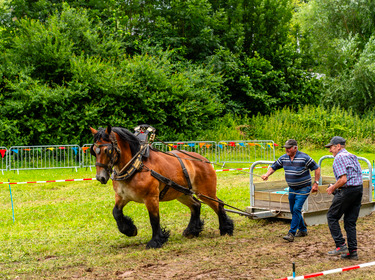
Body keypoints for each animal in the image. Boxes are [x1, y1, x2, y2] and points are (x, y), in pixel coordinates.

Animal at [89, 126, 234, 248]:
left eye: (107, 150)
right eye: (94, 151)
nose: (100, 177)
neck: (136, 166)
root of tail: (204, 160)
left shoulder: (151, 198)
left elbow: (154, 219)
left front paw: (156, 241)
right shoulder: (121, 197)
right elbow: (116, 212)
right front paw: (130, 230)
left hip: (206, 193)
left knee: (219, 205)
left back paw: (226, 228)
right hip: (182, 193)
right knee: (196, 205)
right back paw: (192, 231)